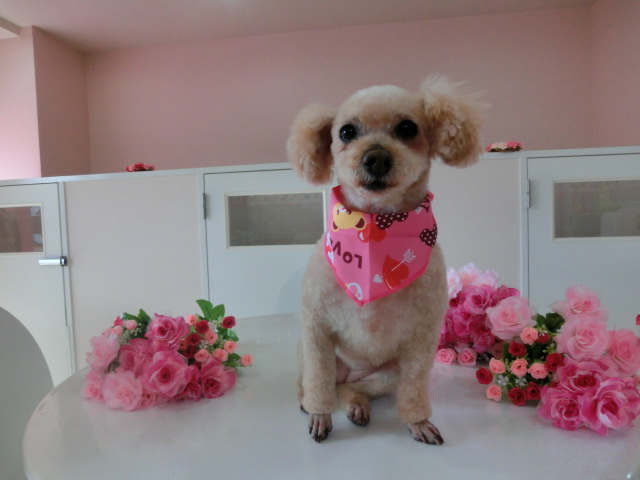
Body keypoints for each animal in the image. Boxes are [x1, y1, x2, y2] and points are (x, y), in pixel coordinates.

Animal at [286, 76, 484, 444]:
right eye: (346, 132)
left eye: (408, 128)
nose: (375, 158)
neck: (376, 231)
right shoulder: (317, 330)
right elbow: (318, 384)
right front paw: (320, 415)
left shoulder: (423, 339)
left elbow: (415, 389)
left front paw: (418, 422)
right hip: (308, 353)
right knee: (316, 384)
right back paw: (311, 402)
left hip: (387, 373)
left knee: (354, 389)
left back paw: (357, 405)